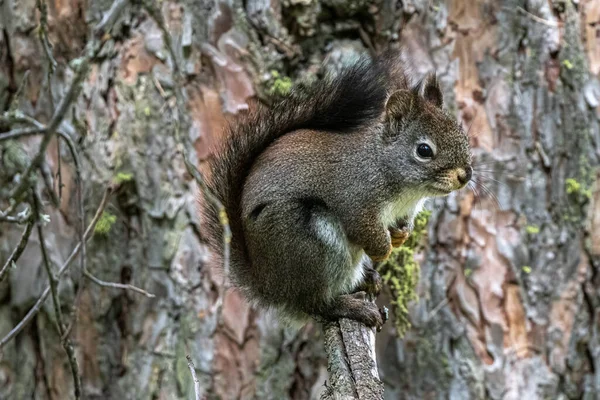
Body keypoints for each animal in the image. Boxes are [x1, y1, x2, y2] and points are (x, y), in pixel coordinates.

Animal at [202, 50, 474, 330]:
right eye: (424, 150)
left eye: (463, 136)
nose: (465, 175)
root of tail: (270, 287)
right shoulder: (354, 198)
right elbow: (364, 229)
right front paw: (385, 248)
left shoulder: (406, 209)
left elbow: (402, 225)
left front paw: (400, 235)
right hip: (311, 243)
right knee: (315, 304)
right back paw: (352, 307)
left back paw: (368, 280)